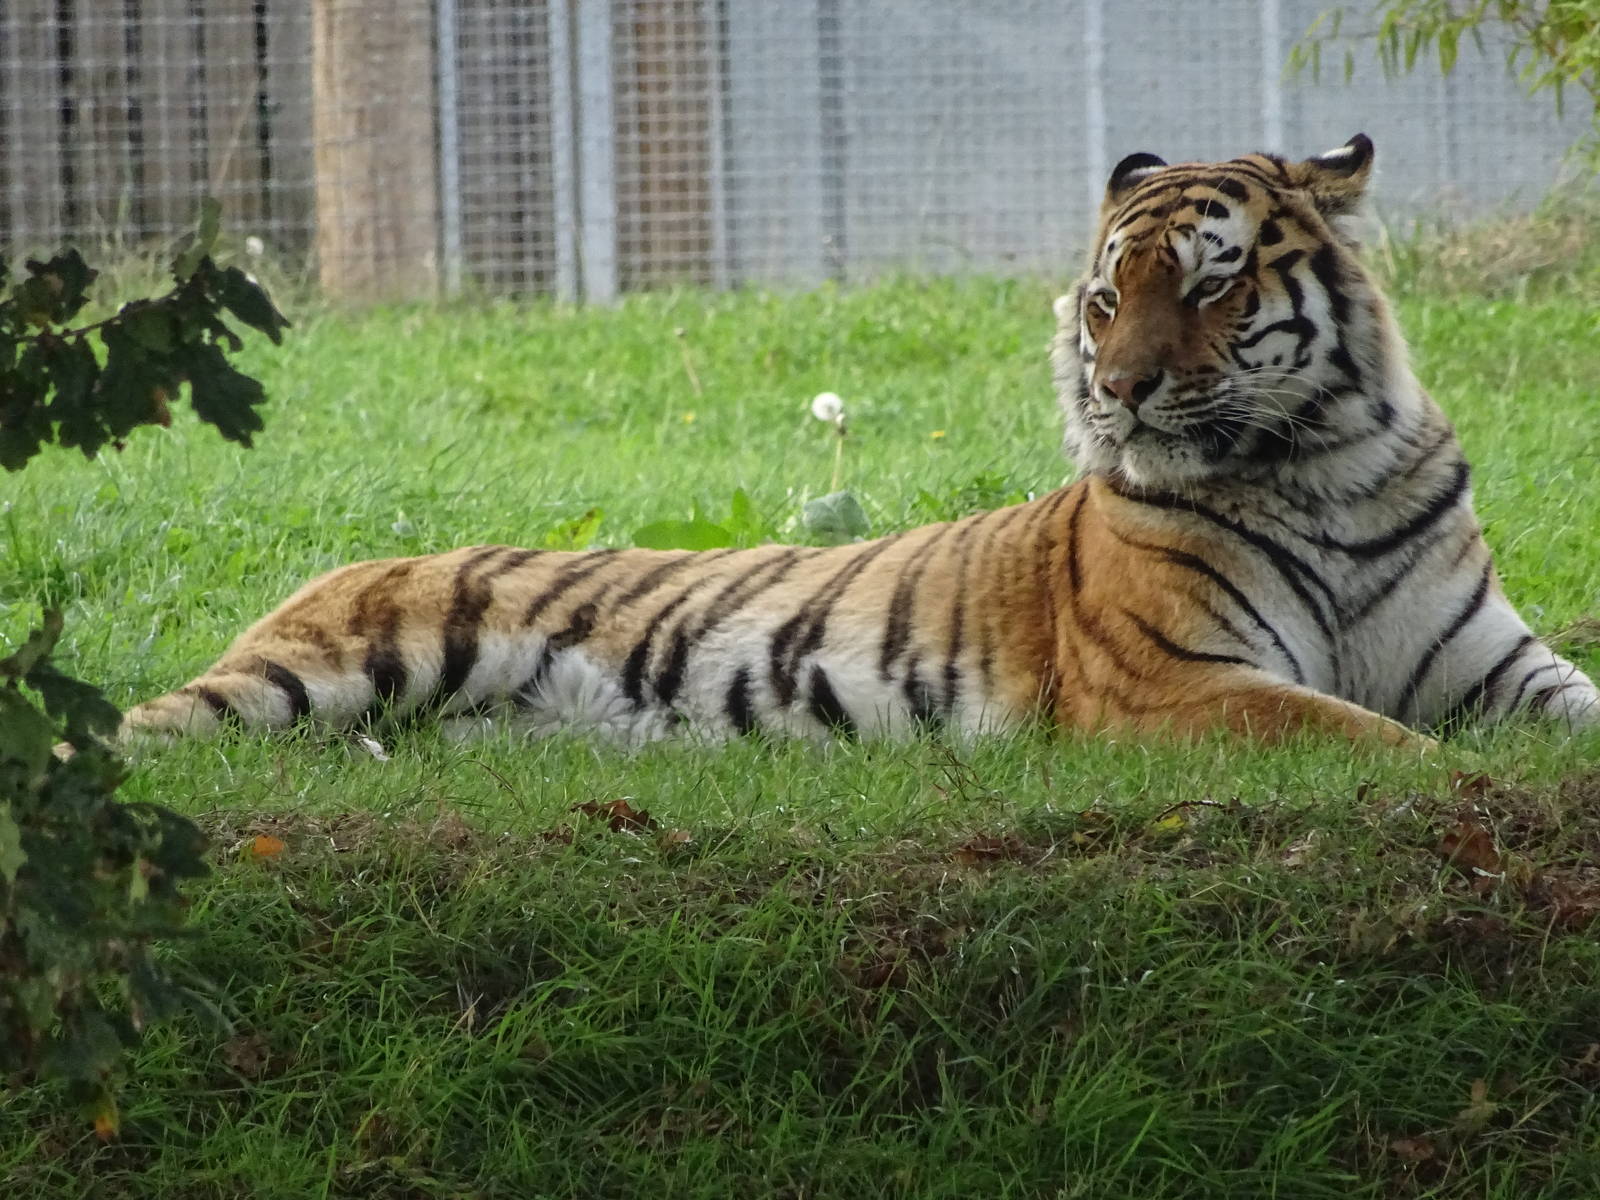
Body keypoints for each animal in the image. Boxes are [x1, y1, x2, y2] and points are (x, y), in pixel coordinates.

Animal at [122, 135, 1598, 750]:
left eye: (1210, 286)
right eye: (1108, 298)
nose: (1118, 389)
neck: (1324, 468)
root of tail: (327, 570)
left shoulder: (1493, 663)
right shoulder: (1176, 685)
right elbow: (1376, 745)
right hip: (309, 673)